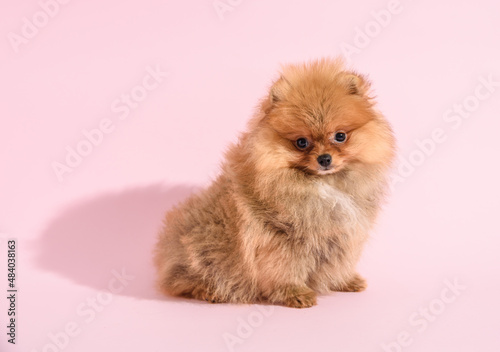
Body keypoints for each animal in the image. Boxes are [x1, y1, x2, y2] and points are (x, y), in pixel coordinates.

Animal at [154, 58, 396, 308]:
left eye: (340, 136)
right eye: (301, 142)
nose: (324, 159)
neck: (324, 186)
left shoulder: (343, 237)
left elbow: (338, 262)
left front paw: (344, 280)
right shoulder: (281, 240)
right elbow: (285, 269)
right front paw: (294, 293)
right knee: (186, 278)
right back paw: (210, 291)